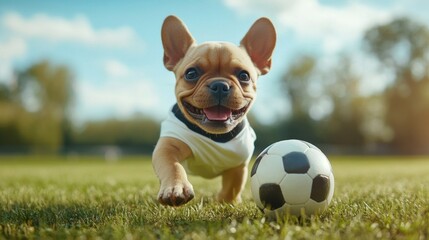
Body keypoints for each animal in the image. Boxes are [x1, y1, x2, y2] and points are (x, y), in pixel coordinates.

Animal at [152, 15, 276, 206]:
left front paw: (226, 201)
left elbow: (232, 187)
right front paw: (175, 188)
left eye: (244, 76)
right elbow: (173, 166)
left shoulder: (238, 165)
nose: (220, 85)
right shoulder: (168, 147)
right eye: (191, 74)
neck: (215, 135)